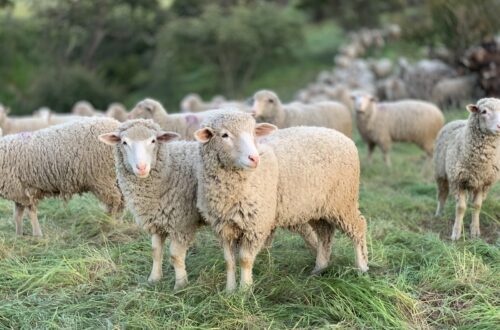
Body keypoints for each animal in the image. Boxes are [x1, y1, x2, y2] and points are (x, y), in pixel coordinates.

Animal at [194, 111, 368, 292]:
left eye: (253, 132)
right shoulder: (223, 227)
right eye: (224, 135)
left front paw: (244, 291)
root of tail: (344, 138)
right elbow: (229, 261)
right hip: (317, 207)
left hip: (343, 201)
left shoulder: (256, 224)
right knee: (325, 234)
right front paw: (229, 291)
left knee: (359, 227)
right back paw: (319, 268)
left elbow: (245, 260)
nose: (254, 158)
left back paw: (362, 267)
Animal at [434, 98, 500, 240]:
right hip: (440, 172)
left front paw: (475, 230)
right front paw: (456, 233)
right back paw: (439, 214)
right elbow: (460, 208)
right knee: (442, 194)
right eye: (484, 111)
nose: (499, 126)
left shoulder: (483, 183)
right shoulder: (457, 181)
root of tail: (456, 120)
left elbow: (477, 206)